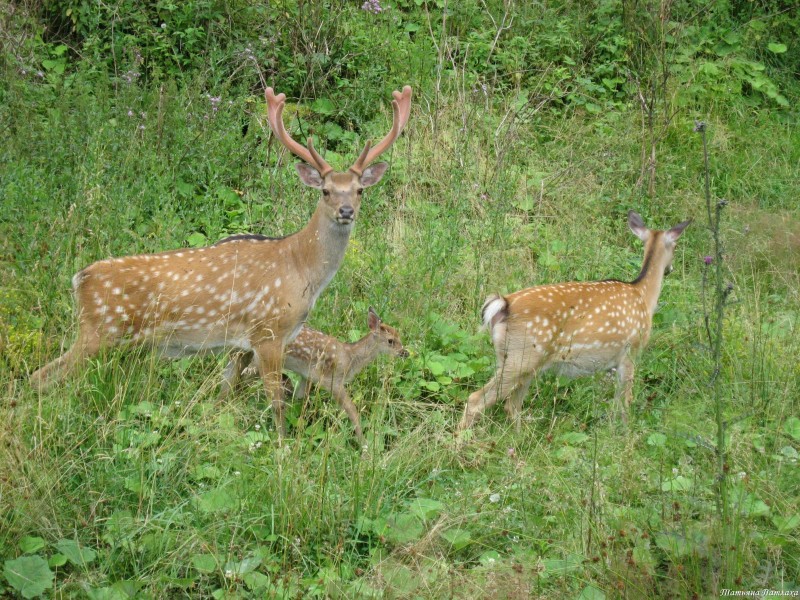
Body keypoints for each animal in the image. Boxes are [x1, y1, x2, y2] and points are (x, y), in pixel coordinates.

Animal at [31, 84, 412, 438]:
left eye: (360, 190)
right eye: (326, 190)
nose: (346, 211)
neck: (300, 269)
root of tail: (79, 279)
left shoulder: (243, 343)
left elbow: (227, 389)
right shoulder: (268, 332)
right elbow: (276, 399)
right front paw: (283, 447)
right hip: (98, 332)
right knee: (42, 375)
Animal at [460, 211, 692, 432]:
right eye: (676, 246)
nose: (670, 268)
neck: (643, 295)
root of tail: (502, 304)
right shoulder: (631, 352)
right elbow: (623, 403)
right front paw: (623, 434)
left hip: (518, 361)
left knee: (512, 404)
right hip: (521, 357)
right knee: (476, 400)